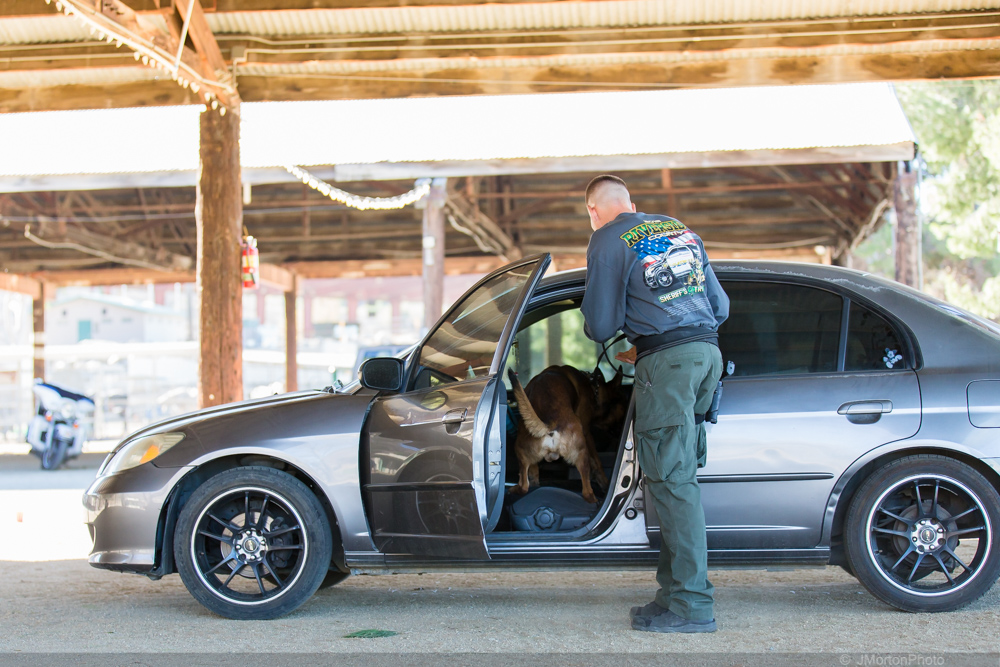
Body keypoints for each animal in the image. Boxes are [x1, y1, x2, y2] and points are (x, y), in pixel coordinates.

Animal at [507, 365, 627, 504]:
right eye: (624, 405)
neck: (594, 389)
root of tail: (549, 426)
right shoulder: (587, 433)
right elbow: (597, 462)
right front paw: (604, 483)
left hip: (522, 452)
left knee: (525, 486)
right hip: (582, 453)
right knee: (587, 492)